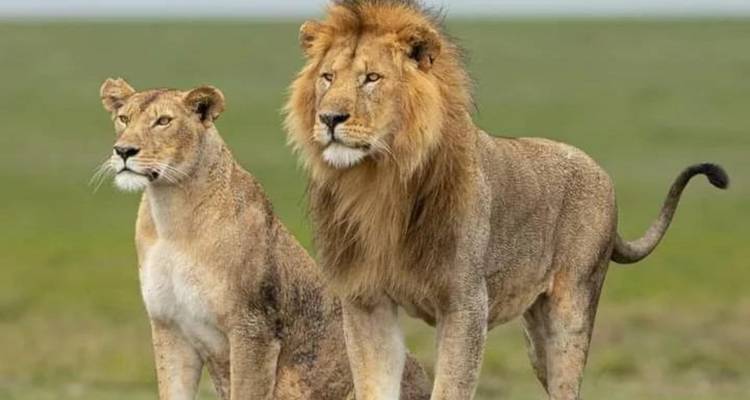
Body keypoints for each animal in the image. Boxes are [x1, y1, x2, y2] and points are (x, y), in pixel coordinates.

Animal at [98, 78, 431, 400]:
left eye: (163, 121)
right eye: (124, 118)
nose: (123, 151)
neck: (171, 214)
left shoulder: (253, 328)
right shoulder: (169, 328)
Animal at [284, 1, 730, 399]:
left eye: (372, 78)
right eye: (327, 77)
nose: (329, 118)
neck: (378, 182)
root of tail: (597, 169)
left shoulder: (466, 304)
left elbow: (451, 387)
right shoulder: (367, 301)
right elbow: (373, 384)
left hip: (571, 309)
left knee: (568, 385)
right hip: (535, 330)